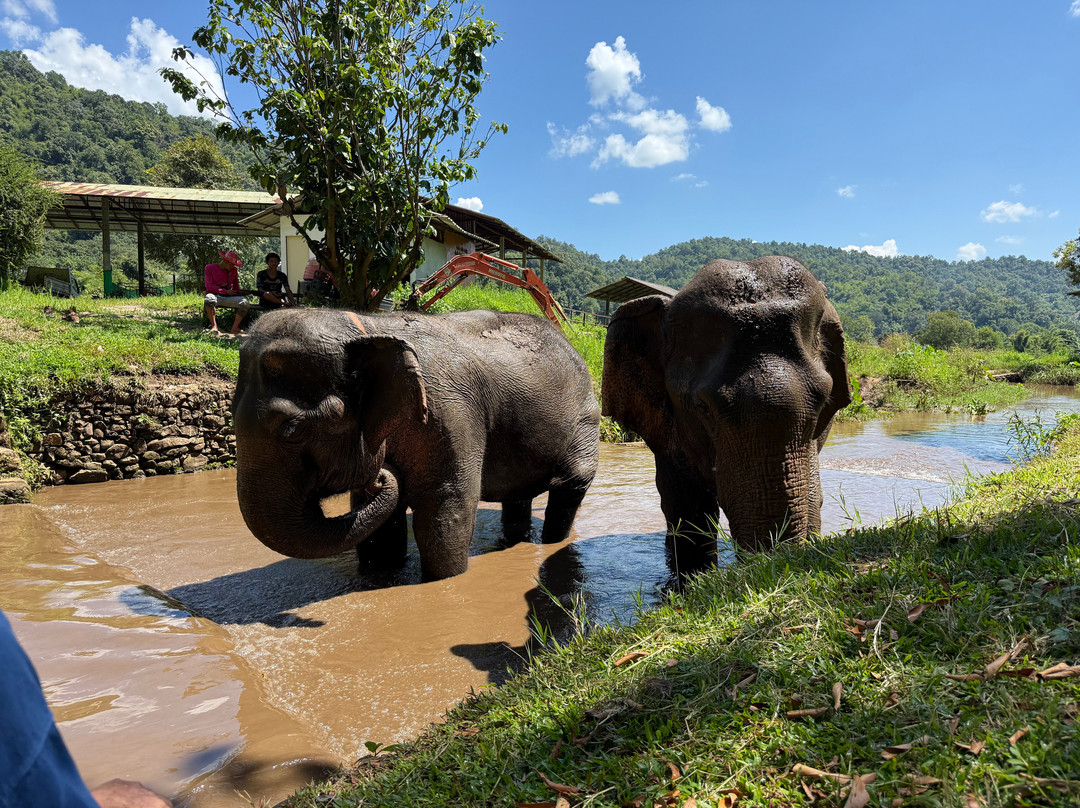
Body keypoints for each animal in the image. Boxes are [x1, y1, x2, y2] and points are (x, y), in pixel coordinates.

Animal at [233, 307, 600, 581]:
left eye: (292, 429)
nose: (382, 475)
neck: (368, 329)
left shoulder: (452, 413)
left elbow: (445, 509)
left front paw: (442, 581)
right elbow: (379, 525)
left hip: (585, 420)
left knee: (570, 484)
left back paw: (552, 540)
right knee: (518, 497)